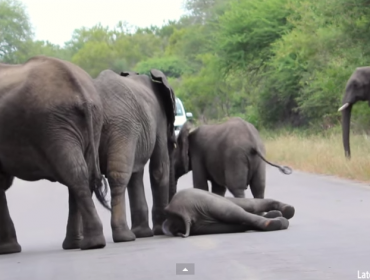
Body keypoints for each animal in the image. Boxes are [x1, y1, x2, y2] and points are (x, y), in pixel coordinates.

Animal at [0, 55, 110, 255]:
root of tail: (80, 92)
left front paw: (7, 250)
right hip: (89, 122)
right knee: (82, 173)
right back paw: (79, 244)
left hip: (53, 125)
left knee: (74, 173)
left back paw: (90, 244)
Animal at [92, 69, 176, 242]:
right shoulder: (158, 118)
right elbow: (159, 169)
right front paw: (159, 231)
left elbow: (136, 173)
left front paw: (143, 233)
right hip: (122, 128)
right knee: (118, 177)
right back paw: (125, 236)